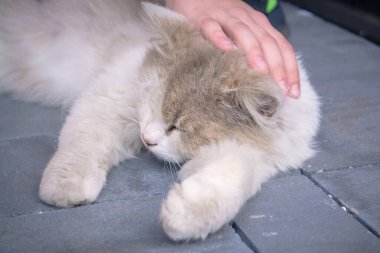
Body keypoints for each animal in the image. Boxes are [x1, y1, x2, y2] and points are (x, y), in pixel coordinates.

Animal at [0, 0, 320, 241]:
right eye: (152, 105)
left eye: (178, 127)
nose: (147, 139)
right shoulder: (110, 97)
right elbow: (83, 142)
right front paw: (66, 187)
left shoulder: (250, 155)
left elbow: (229, 178)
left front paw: (186, 214)